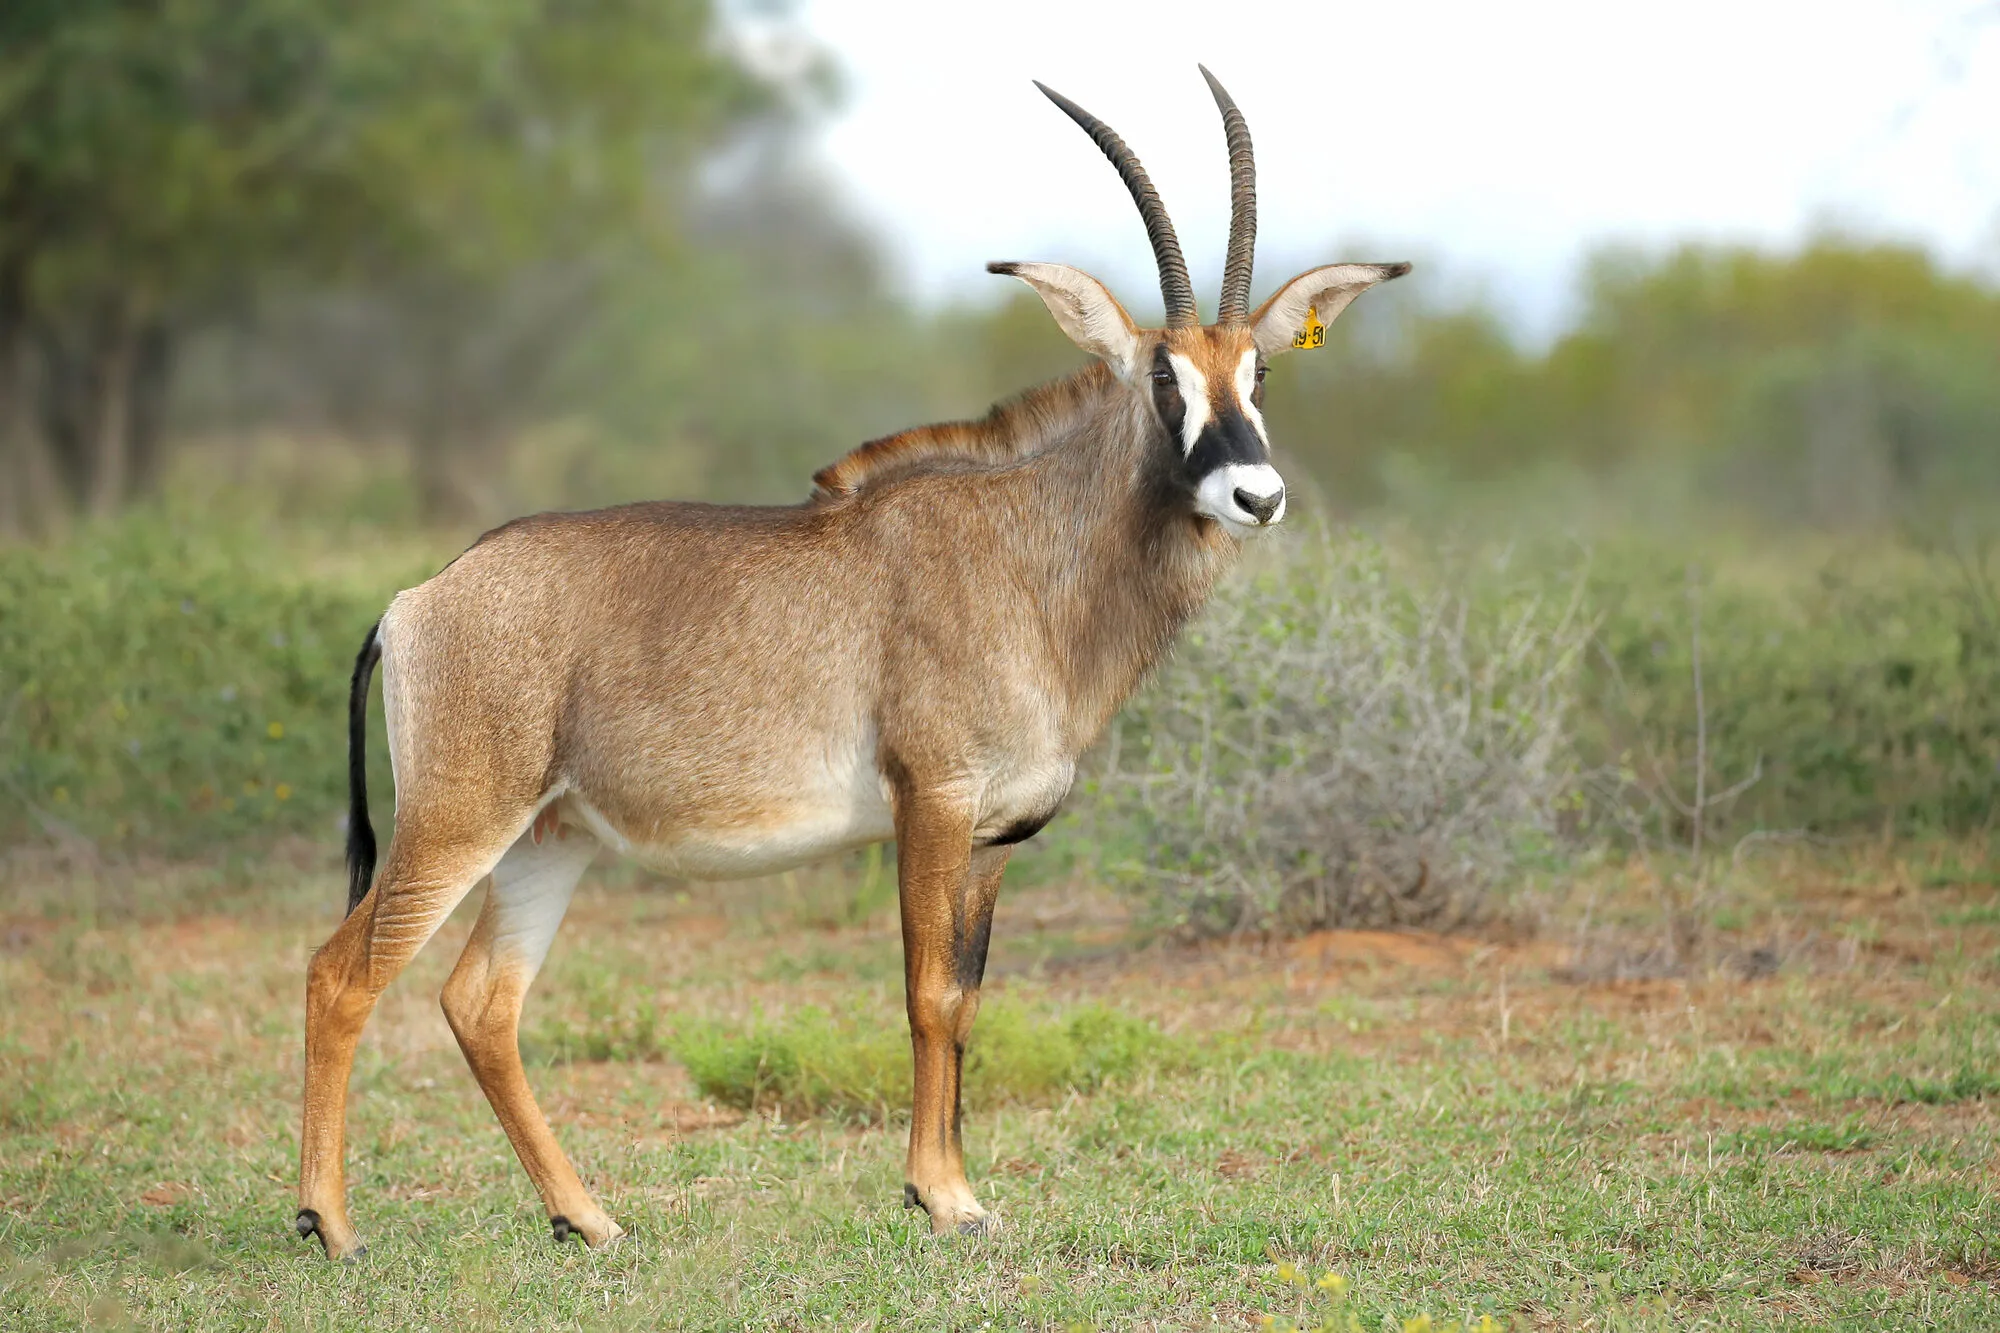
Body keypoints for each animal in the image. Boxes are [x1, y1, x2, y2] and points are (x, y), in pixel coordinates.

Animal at [295, 67, 1407, 1260]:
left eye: (1258, 369)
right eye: (1162, 374)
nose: (1256, 494)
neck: (1026, 555)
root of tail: (415, 601)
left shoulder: (994, 837)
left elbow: (967, 997)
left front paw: (953, 1186)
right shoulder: (932, 802)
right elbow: (925, 993)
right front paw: (941, 1194)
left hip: (546, 840)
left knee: (482, 1003)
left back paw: (585, 1217)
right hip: (459, 820)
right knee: (342, 972)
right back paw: (331, 1223)